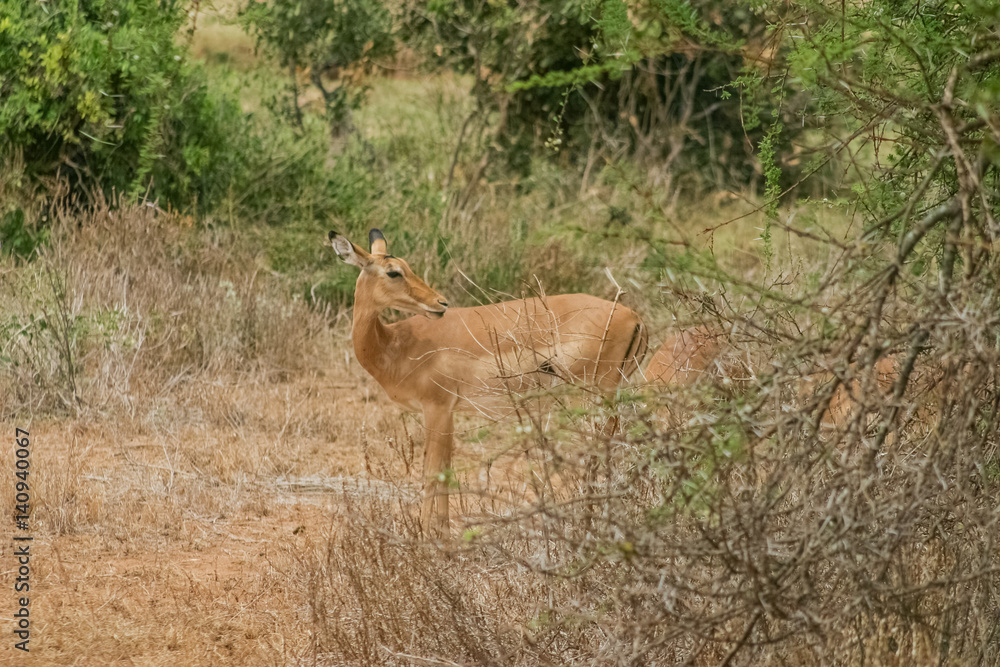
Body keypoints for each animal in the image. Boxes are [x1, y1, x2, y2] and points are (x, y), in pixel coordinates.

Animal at [329, 229, 648, 535]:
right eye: (395, 271)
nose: (440, 303)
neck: (396, 344)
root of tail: (635, 317)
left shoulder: (436, 409)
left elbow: (431, 474)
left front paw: (425, 541)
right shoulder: (449, 413)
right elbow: (446, 471)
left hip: (597, 393)